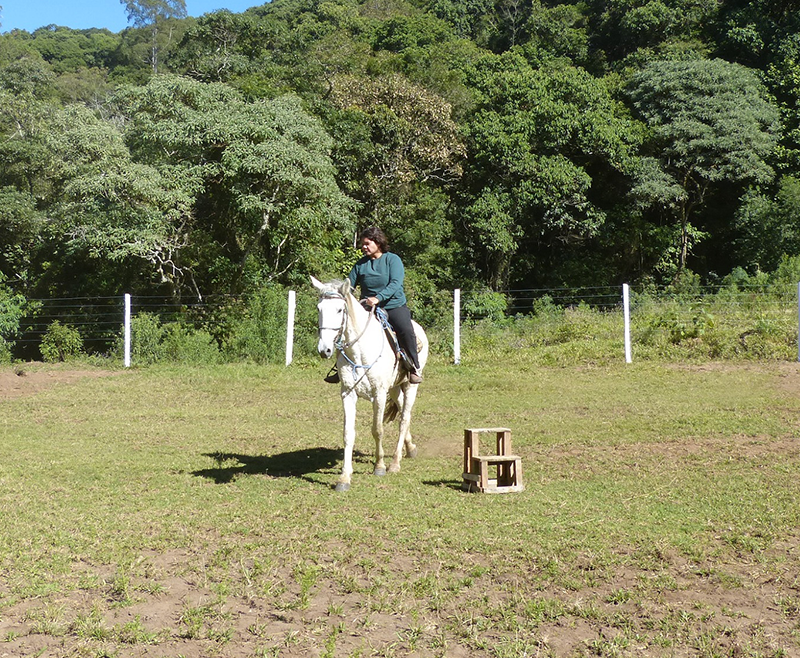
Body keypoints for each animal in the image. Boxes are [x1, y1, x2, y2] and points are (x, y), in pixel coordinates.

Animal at [310, 274, 428, 490]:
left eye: (339, 309)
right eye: (319, 308)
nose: (324, 349)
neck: (359, 351)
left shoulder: (379, 394)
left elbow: (377, 430)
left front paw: (379, 466)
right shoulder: (348, 394)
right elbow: (348, 433)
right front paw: (344, 477)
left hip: (410, 386)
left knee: (404, 419)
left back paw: (395, 463)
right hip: (394, 388)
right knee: (402, 413)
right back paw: (410, 448)